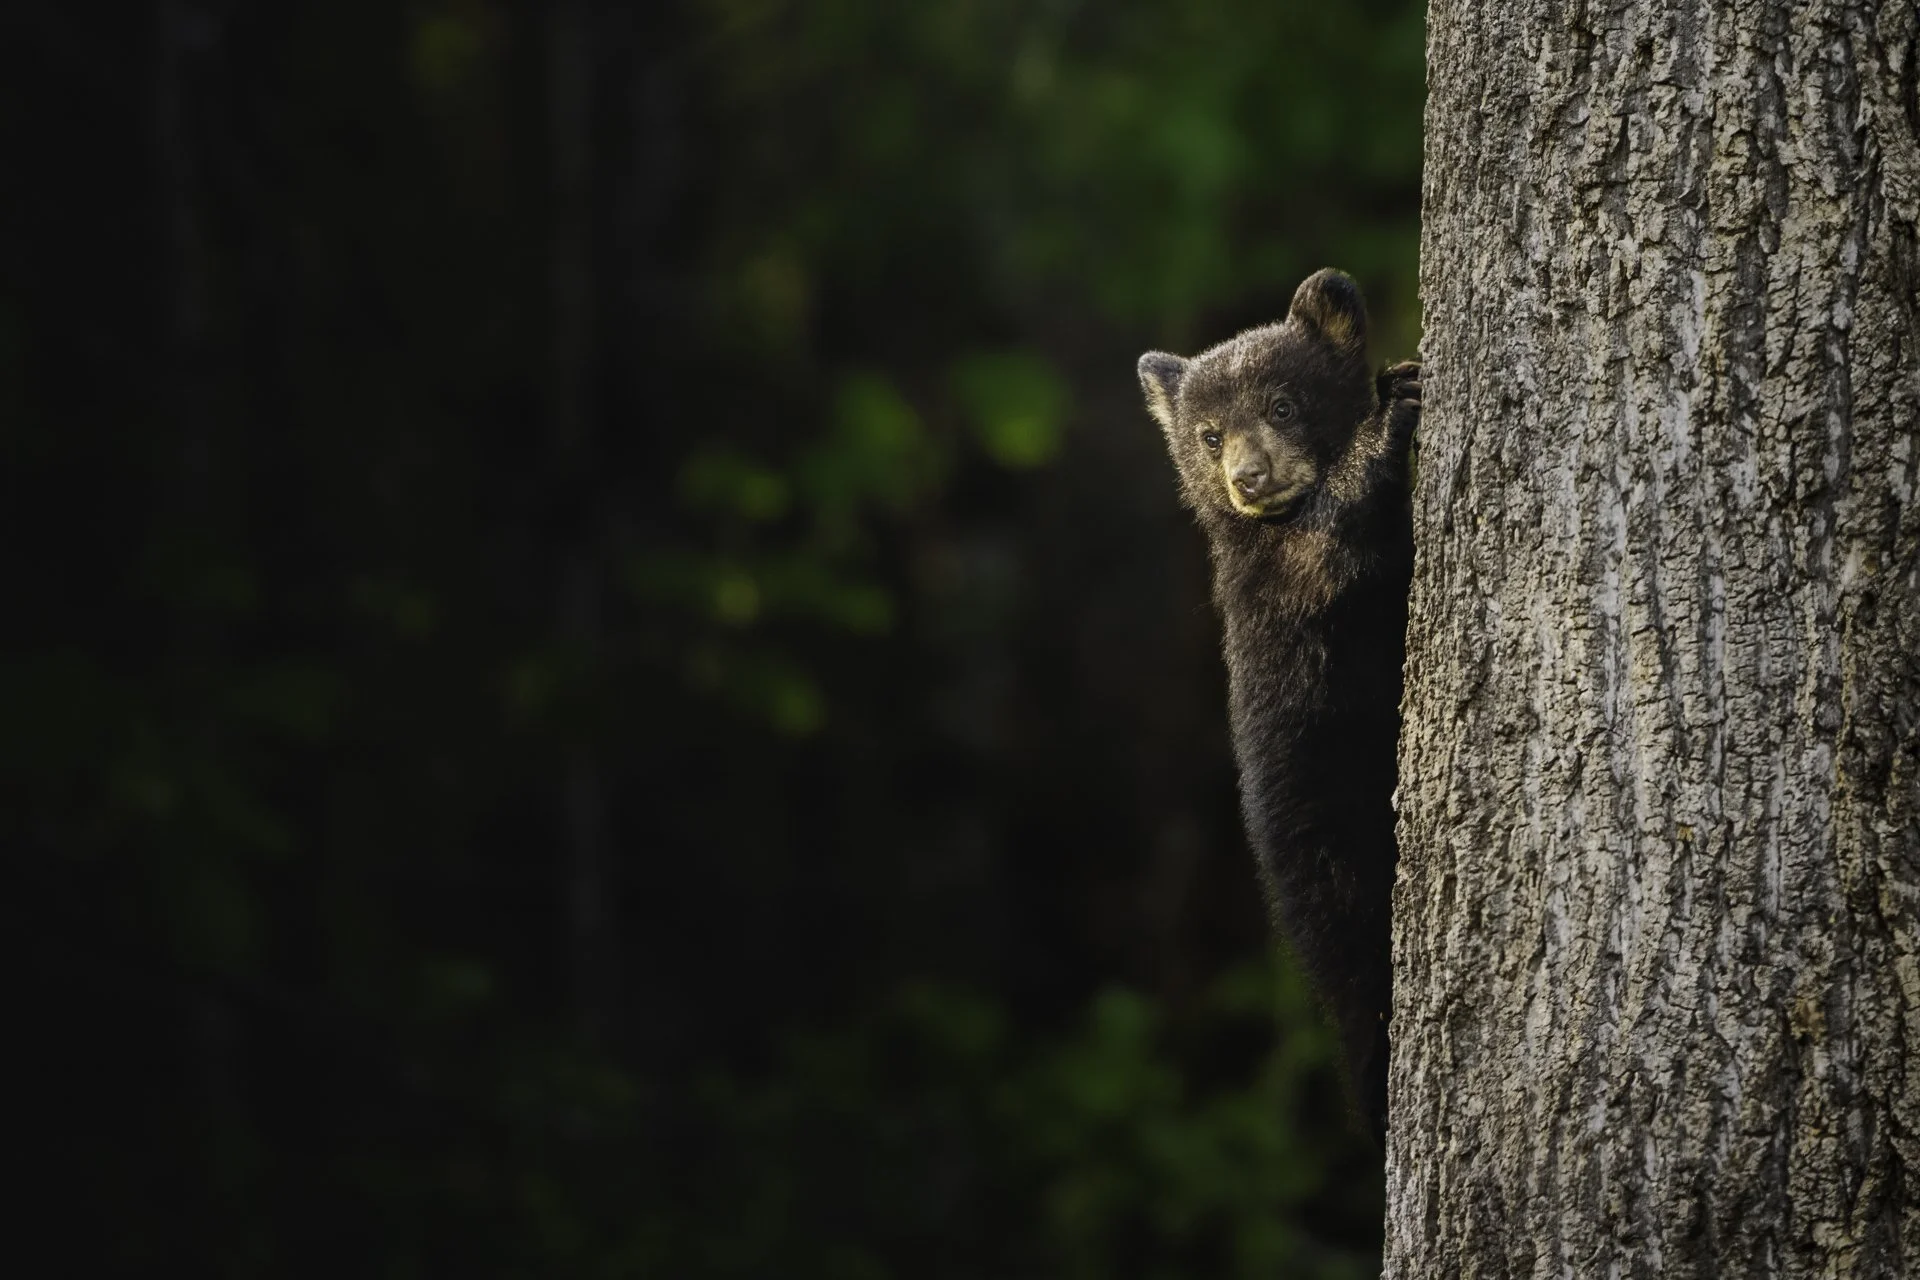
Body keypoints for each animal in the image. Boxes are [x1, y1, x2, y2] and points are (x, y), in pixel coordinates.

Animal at [1137, 268, 1419, 1141]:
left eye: (1284, 406)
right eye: (1208, 437)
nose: (1249, 480)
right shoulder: (1275, 584)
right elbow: (1326, 555)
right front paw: (1394, 410)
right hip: (1330, 858)